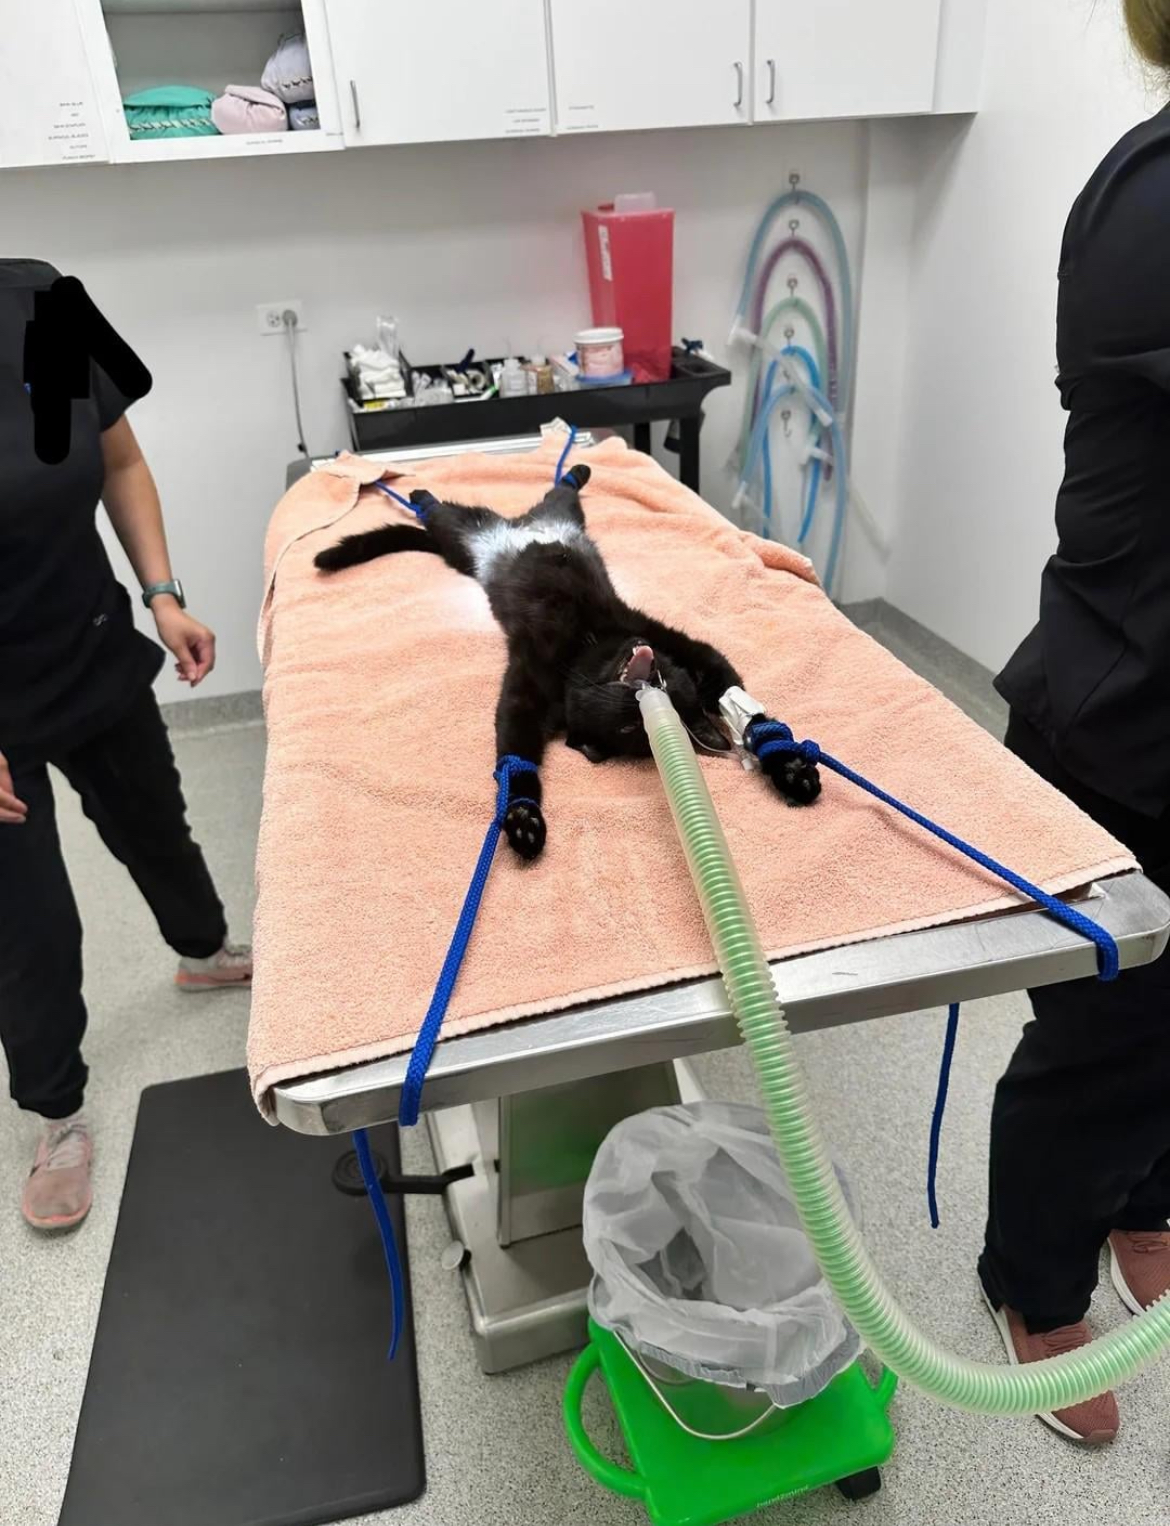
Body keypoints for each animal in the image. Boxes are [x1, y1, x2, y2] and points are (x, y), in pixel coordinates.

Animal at [314, 465, 820, 860]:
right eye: (636, 721)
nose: (644, 692)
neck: (584, 652)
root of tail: (526, 523)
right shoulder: (549, 671)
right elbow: (515, 751)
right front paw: (522, 815)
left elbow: (744, 707)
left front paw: (788, 768)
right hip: (474, 536)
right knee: (451, 511)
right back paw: (423, 492)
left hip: (521, 526)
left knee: (551, 492)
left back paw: (573, 471)